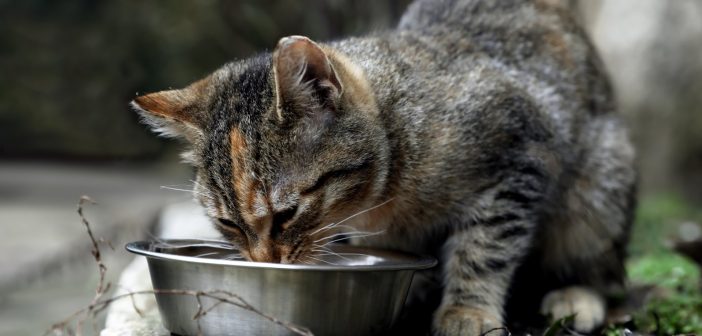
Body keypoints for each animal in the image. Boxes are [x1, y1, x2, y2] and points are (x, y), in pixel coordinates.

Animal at [131, 0, 640, 334]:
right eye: (228, 225)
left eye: (287, 214)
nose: (264, 264)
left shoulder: (521, 158)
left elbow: (484, 248)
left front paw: (467, 311)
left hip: (598, 190)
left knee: (603, 266)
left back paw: (576, 294)